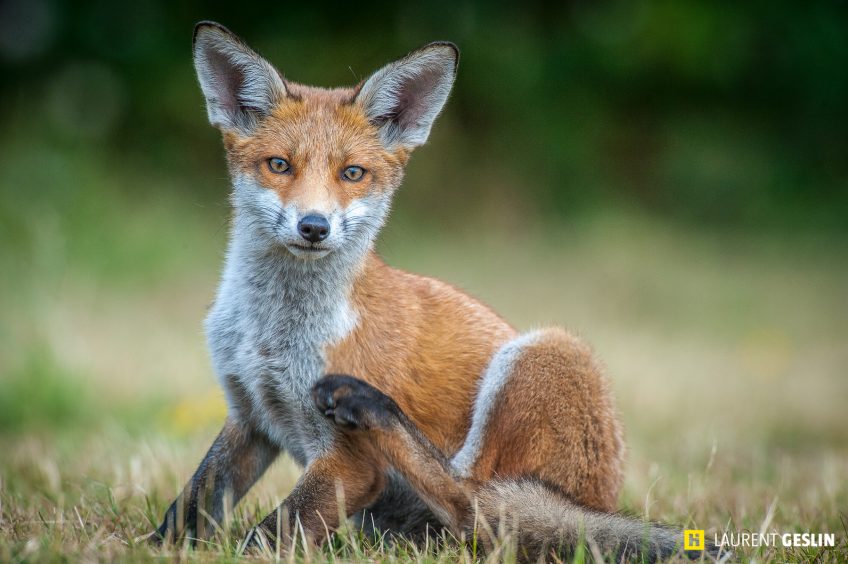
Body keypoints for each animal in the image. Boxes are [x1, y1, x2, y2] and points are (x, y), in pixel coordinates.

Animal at [153, 21, 720, 561]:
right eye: (278, 165)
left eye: (352, 173)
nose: (314, 226)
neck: (273, 330)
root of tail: (600, 498)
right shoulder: (249, 415)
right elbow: (193, 499)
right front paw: (157, 548)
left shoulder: (350, 462)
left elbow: (274, 531)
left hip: (547, 352)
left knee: (474, 507)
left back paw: (376, 409)